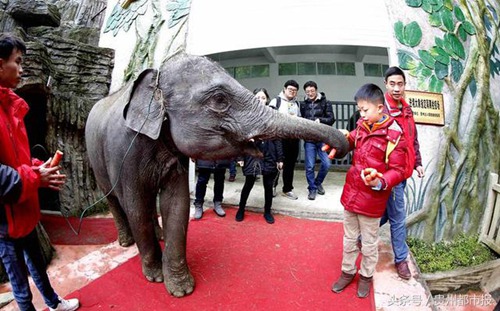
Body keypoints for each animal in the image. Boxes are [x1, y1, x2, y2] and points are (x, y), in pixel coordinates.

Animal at [85, 53, 348, 298]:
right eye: (220, 100)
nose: (341, 145)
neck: (156, 76)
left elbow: (177, 204)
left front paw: (181, 289)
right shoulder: (124, 151)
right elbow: (135, 206)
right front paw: (156, 277)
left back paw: (158, 236)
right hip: (94, 155)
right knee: (114, 198)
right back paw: (126, 242)